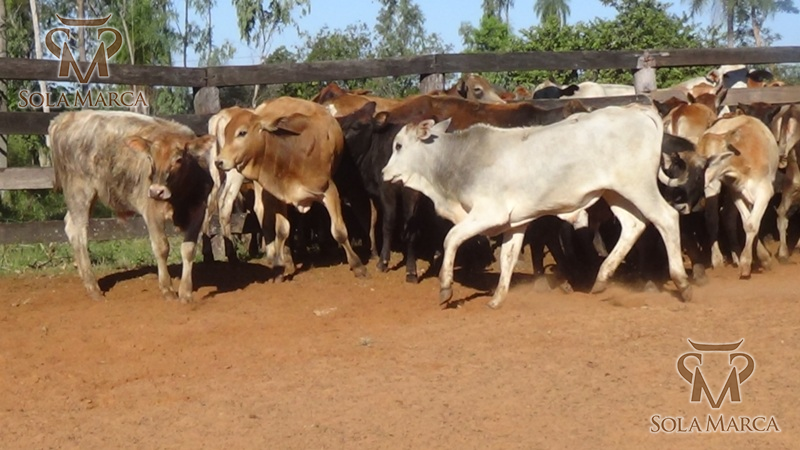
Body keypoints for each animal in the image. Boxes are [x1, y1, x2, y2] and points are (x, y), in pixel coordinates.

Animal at [49, 110, 215, 302]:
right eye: (150, 158)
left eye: (179, 159)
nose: (157, 191)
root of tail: (65, 117)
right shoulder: (152, 212)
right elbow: (162, 247)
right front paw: (167, 289)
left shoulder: (199, 210)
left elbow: (188, 249)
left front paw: (186, 292)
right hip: (79, 193)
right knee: (79, 233)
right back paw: (93, 287)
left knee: (70, 226)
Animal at [214, 97, 367, 277]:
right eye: (227, 134)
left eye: (242, 132)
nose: (219, 161)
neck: (292, 152)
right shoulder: (280, 194)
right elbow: (283, 230)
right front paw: (282, 265)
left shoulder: (329, 191)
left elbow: (339, 231)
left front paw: (357, 265)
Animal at [382, 105, 692, 308]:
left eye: (398, 146)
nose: (384, 173)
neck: (459, 159)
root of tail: (640, 111)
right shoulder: (514, 222)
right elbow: (508, 256)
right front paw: (497, 298)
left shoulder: (487, 213)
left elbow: (451, 238)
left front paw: (445, 288)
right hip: (616, 193)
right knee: (633, 225)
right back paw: (602, 278)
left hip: (638, 187)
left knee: (666, 219)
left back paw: (681, 282)